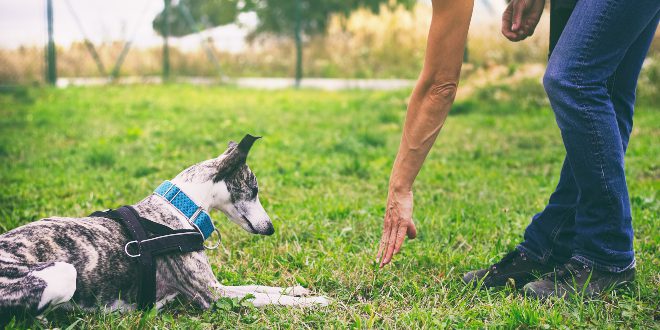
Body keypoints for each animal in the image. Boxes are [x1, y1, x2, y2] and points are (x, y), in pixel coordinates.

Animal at [0, 133, 328, 320]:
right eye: (255, 189)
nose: (270, 228)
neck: (179, 208)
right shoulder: (212, 295)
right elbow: (266, 298)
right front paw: (315, 303)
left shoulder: (217, 286)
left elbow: (260, 287)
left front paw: (299, 290)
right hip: (63, 273)